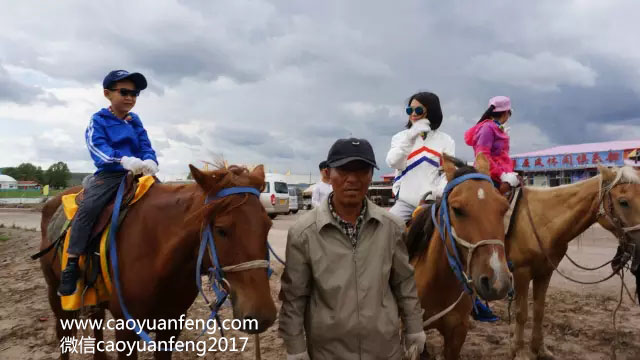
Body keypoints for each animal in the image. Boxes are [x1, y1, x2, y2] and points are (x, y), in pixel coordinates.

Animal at [38, 165, 278, 358]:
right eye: (221, 230)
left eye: (268, 226)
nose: (262, 315)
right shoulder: (127, 330)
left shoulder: (171, 325)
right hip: (54, 293)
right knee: (63, 337)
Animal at [504, 165, 640, 358]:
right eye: (623, 202)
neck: (539, 222)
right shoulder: (521, 272)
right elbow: (521, 313)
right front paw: (520, 353)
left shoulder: (545, 272)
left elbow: (539, 310)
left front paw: (540, 349)